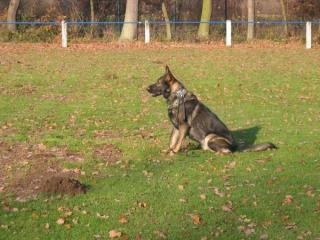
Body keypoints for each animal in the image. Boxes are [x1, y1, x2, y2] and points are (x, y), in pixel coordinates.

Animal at [146, 66, 276, 156]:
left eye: (158, 82)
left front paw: (172, 154)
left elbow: (177, 143)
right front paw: (168, 151)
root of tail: (235, 147)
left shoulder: (183, 126)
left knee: (227, 152)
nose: (146, 88)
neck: (177, 96)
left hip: (210, 137)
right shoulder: (176, 127)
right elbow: (172, 141)